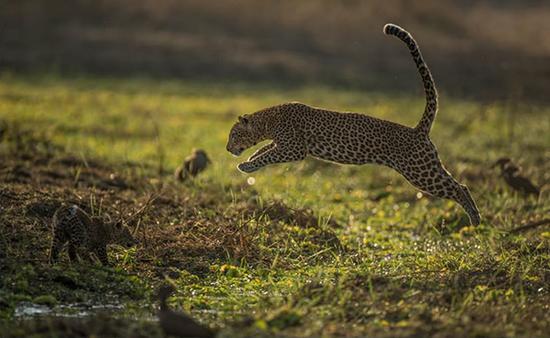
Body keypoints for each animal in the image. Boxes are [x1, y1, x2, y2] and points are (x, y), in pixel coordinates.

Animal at [226, 23, 480, 224]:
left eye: (233, 135)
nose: (228, 148)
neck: (268, 121)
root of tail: (418, 130)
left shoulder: (294, 148)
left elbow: (268, 155)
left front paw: (246, 165)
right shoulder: (285, 144)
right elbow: (264, 150)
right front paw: (250, 161)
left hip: (420, 170)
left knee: (459, 187)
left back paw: (474, 218)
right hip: (428, 166)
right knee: (460, 185)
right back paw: (475, 216)